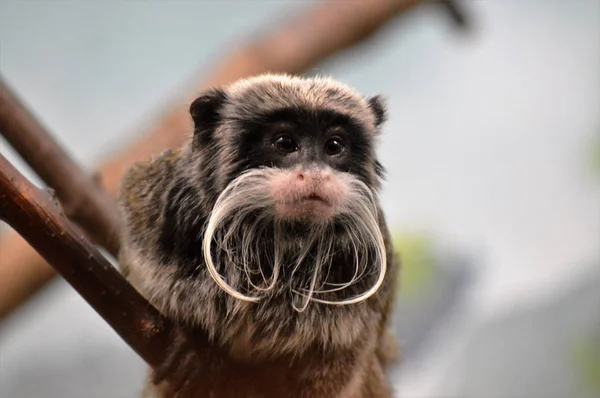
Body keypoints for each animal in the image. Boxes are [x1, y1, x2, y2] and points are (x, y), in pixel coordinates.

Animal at [117, 72, 398, 398]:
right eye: (285, 143)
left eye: (334, 146)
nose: (315, 174)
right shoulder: (158, 201)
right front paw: (192, 344)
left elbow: (352, 347)